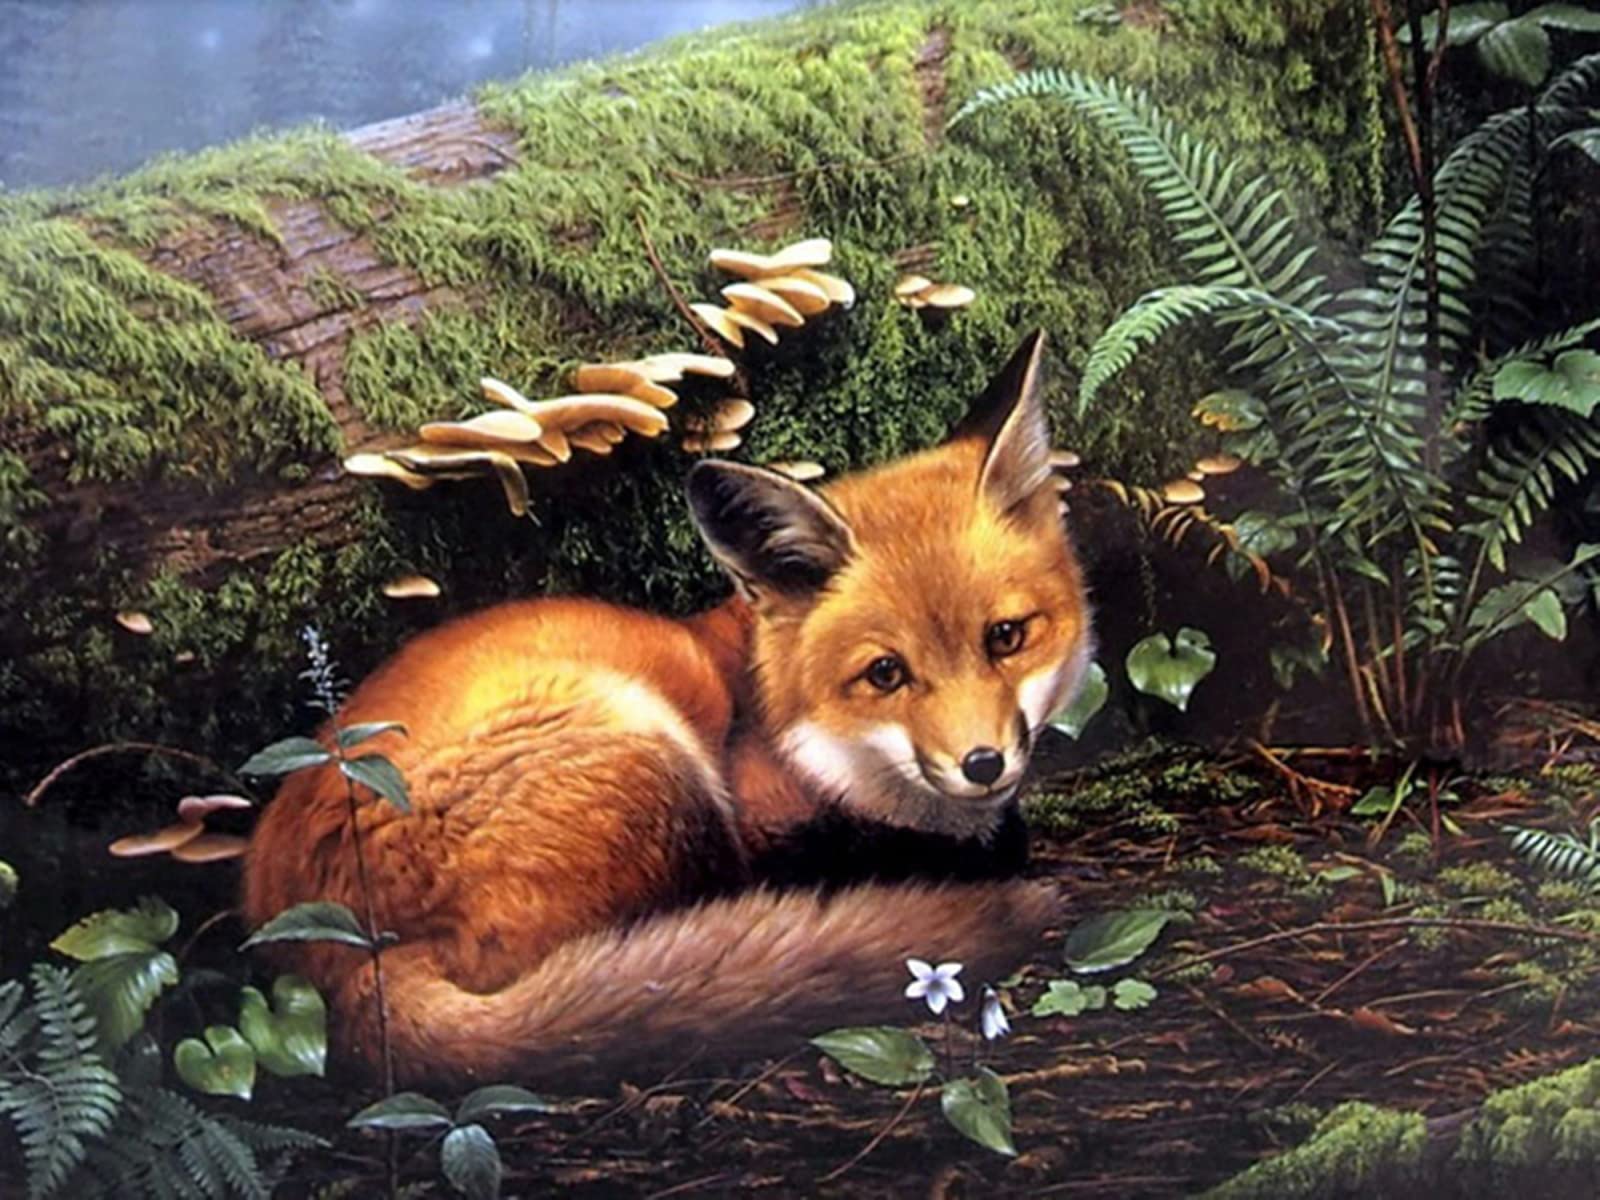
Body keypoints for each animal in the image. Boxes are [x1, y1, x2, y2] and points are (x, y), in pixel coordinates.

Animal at [241, 330, 1094, 1087]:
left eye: (1006, 637)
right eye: (886, 674)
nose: (983, 765)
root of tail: (337, 960)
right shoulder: (760, 817)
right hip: (659, 764)